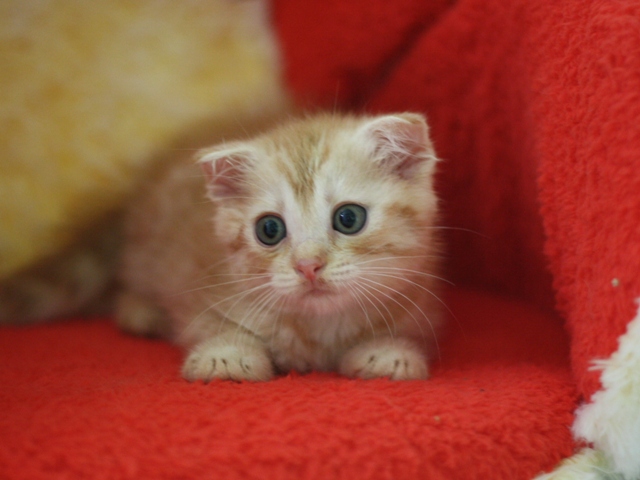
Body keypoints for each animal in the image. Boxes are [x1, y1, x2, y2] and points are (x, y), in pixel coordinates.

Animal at [116, 112, 440, 382]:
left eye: (349, 218)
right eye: (269, 229)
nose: (308, 266)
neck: (320, 330)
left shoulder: (421, 303)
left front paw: (389, 352)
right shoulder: (195, 283)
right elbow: (207, 323)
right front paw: (227, 354)